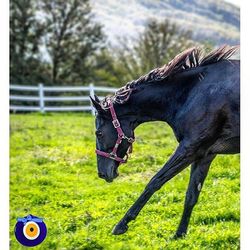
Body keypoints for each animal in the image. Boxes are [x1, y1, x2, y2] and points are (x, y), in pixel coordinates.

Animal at [90, 45, 240, 238]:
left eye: (99, 133)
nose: (102, 173)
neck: (194, 93)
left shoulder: (190, 148)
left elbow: (155, 181)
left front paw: (121, 224)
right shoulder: (204, 154)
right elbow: (191, 195)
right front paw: (180, 234)